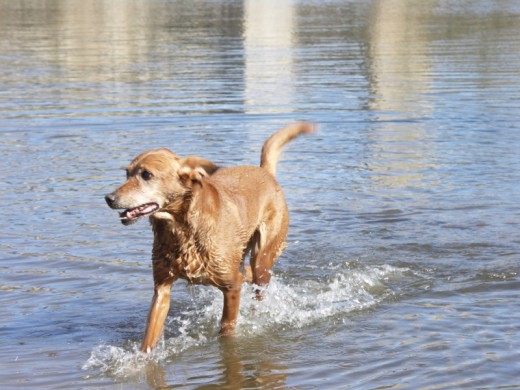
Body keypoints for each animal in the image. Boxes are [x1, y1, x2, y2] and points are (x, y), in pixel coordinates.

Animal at [104, 122, 314, 354]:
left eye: (147, 175)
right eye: (127, 173)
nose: (108, 198)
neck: (181, 230)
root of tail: (264, 171)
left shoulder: (231, 286)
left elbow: (227, 329)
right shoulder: (162, 287)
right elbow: (149, 337)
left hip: (263, 255)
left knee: (258, 279)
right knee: (247, 273)